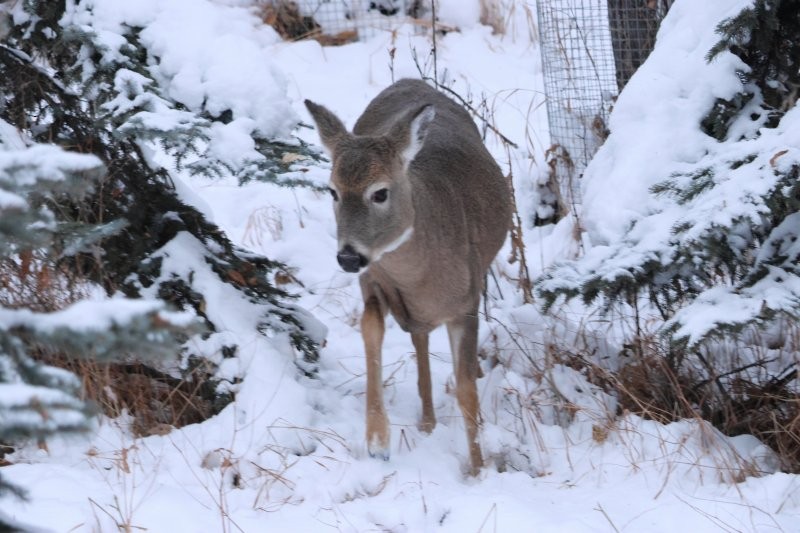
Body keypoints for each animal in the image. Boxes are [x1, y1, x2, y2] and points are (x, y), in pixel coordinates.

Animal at [304, 78, 511, 475]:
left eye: (380, 192)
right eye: (332, 190)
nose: (349, 256)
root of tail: (409, 81)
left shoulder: (466, 303)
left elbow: (465, 389)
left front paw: (478, 470)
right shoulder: (375, 282)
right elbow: (371, 328)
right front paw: (377, 441)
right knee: (419, 340)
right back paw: (426, 423)